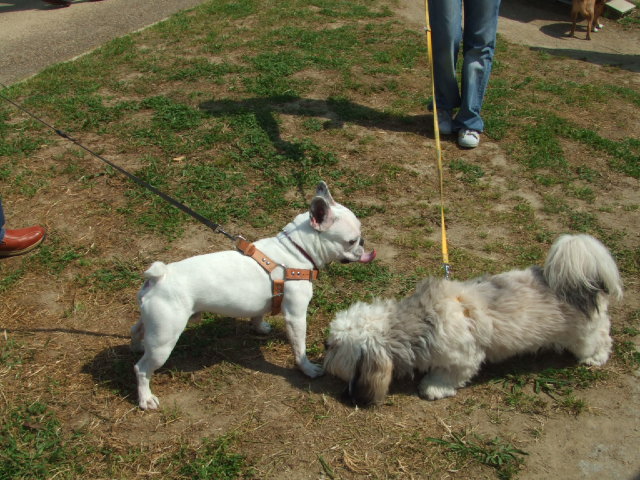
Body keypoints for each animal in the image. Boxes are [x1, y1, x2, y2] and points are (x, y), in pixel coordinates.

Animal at [324, 234, 620, 406]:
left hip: (582, 333)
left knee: (601, 337)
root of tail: (583, 284)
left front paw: (433, 387)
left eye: (336, 345)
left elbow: (449, 375)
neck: (423, 322)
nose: (325, 345)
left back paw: (594, 357)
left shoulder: (464, 357)